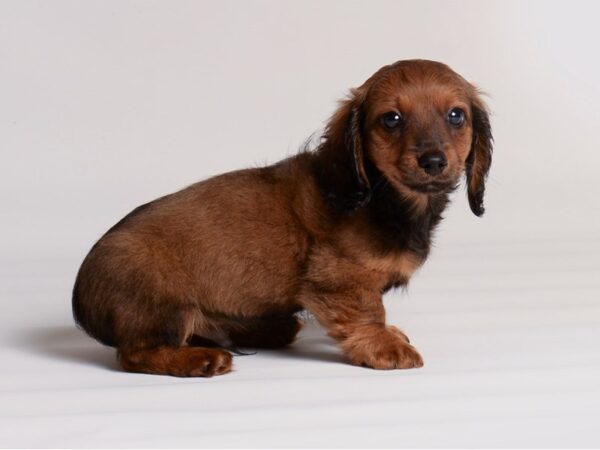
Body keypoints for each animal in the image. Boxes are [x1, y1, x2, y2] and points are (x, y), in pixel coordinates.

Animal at [71, 59, 492, 376]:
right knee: (134, 354)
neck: (382, 199)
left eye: (456, 115)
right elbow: (367, 311)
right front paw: (382, 344)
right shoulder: (338, 279)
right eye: (391, 119)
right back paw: (200, 359)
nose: (433, 161)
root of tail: (81, 298)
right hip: (164, 304)